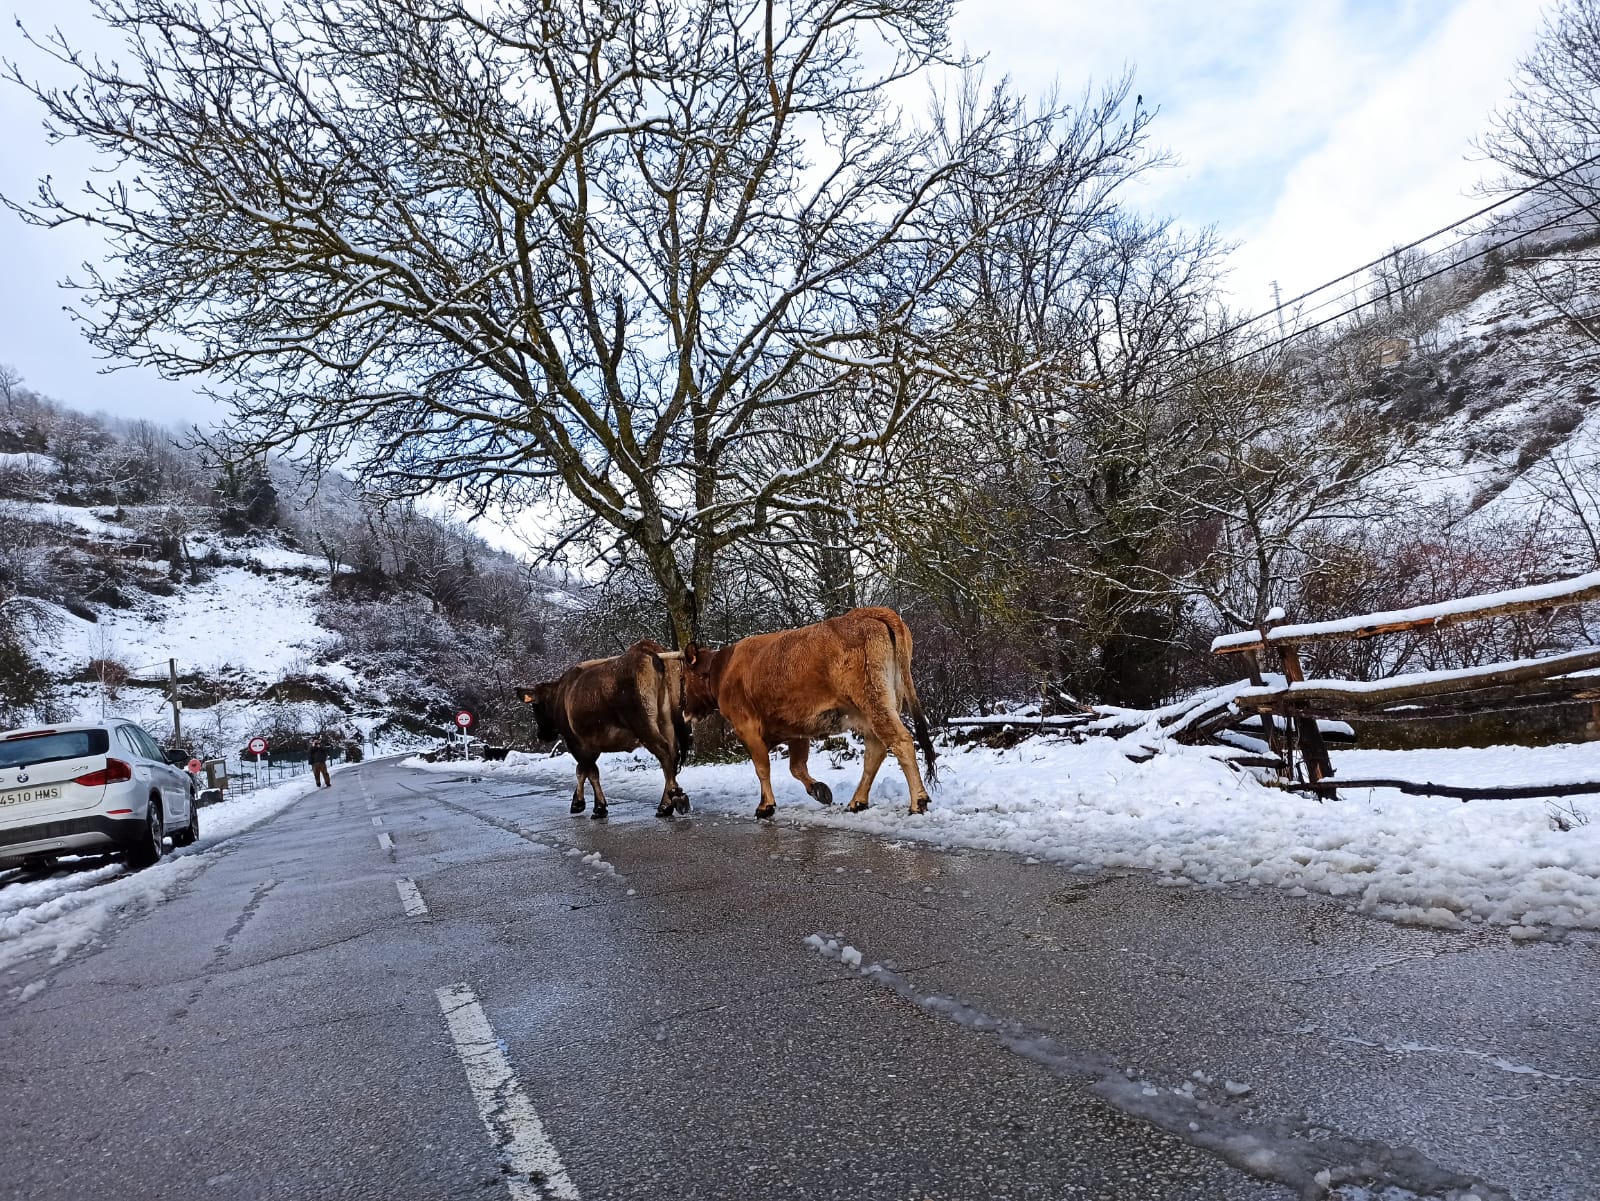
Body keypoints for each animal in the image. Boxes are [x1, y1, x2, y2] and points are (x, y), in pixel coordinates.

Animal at [515, 642, 684, 825]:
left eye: (536, 707)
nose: (541, 734)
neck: (560, 693)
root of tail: (646, 648)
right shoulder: (591, 745)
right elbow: (582, 770)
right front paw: (578, 802)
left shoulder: (576, 742)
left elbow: (589, 772)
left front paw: (598, 807)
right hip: (666, 720)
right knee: (673, 755)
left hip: (644, 725)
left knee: (665, 755)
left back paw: (666, 805)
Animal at [678, 604, 934, 825]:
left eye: (684, 678)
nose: (685, 712)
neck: (722, 670)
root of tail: (870, 612)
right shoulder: (795, 731)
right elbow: (796, 766)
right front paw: (819, 790)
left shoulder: (747, 727)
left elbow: (762, 767)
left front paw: (765, 806)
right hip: (876, 709)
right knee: (875, 752)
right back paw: (857, 801)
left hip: (874, 703)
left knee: (900, 741)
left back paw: (917, 802)